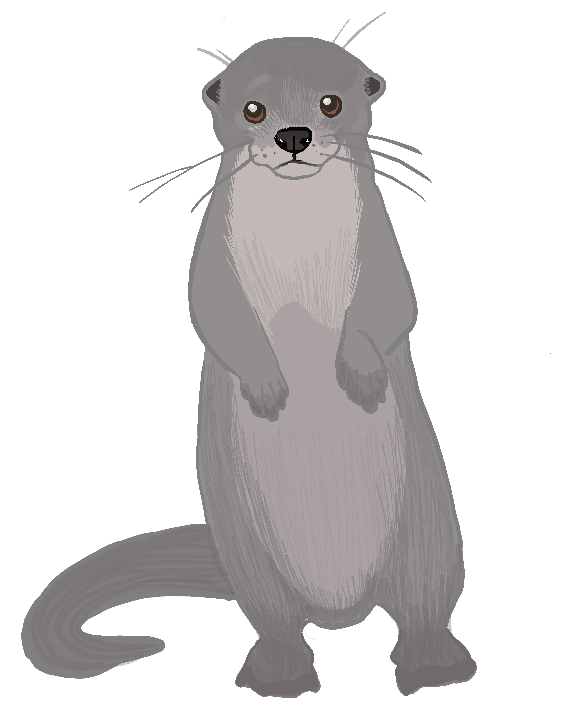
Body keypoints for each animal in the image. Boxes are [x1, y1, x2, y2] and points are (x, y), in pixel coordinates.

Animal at [22, 17, 475, 697]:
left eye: (331, 103)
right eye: (253, 109)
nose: (293, 136)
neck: (298, 243)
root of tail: (339, 607)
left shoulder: (385, 250)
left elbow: (395, 305)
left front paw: (360, 373)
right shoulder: (210, 259)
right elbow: (210, 311)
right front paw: (267, 386)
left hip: (430, 529)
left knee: (425, 603)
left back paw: (435, 667)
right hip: (246, 549)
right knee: (275, 619)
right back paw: (279, 677)